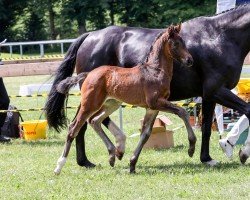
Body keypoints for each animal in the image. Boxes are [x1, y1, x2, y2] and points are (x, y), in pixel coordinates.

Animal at [54, 25, 195, 174]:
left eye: (183, 42)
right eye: (176, 43)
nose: (190, 60)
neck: (155, 71)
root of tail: (88, 74)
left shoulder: (152, 108)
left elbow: (145, 134)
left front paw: (132, 164)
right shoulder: (156, 102)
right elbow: (182, 112)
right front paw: (191, 147)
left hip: (111, 104)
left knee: (94, 120)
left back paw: (113, 154)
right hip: (90, 104)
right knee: (74, 127)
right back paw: (59, 166)